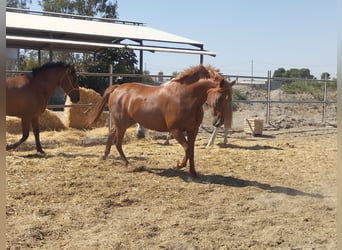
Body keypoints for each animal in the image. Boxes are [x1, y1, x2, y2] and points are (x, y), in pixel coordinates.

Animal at [87, 64, 235, 178]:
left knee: (112, 133)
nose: (218, 122)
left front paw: (193, 174)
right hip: (122, 123)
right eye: (219, 98)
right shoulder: (175, 130)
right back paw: (129, 165)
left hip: (125, 122)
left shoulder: (193, 130)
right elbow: (187, 149)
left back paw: (104, 156)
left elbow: (192, 151)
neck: (185, 97)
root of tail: (117, 88)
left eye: (229, 99)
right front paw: (178, 165)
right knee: (118, 142)